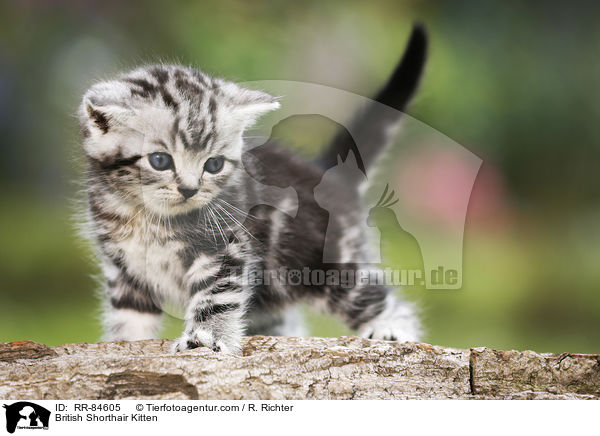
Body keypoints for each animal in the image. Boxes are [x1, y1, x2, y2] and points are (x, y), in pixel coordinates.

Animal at [78, 24, 426, 354]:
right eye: (160, 160)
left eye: (214, 165)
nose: (189, 190)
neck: (145, 216)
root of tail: (328, 175)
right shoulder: (125, 268)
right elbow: (130, 315)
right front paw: (124, 343)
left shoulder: (228, 246)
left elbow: (216, 296)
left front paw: (203, 338)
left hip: (324, 262)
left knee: (372, 296)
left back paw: (391, 328)